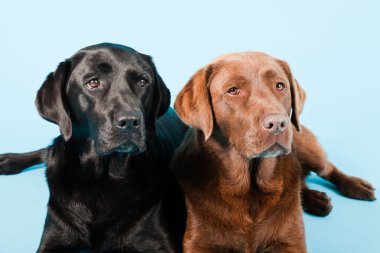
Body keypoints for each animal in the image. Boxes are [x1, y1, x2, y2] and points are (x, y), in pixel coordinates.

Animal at [0, 43, 187, 251]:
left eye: (142, 82)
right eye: (93, 82)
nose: (130, 122)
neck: (103, 176)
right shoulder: (53, 235)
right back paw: (7, 160)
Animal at [172, 52, 374, 252]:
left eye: (280, 86)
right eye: (233, 90)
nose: (277, 123)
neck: (250, 189)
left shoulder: (292, 241)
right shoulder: (198, 242)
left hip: (306, 146)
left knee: (327, 168)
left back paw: (356, 186)